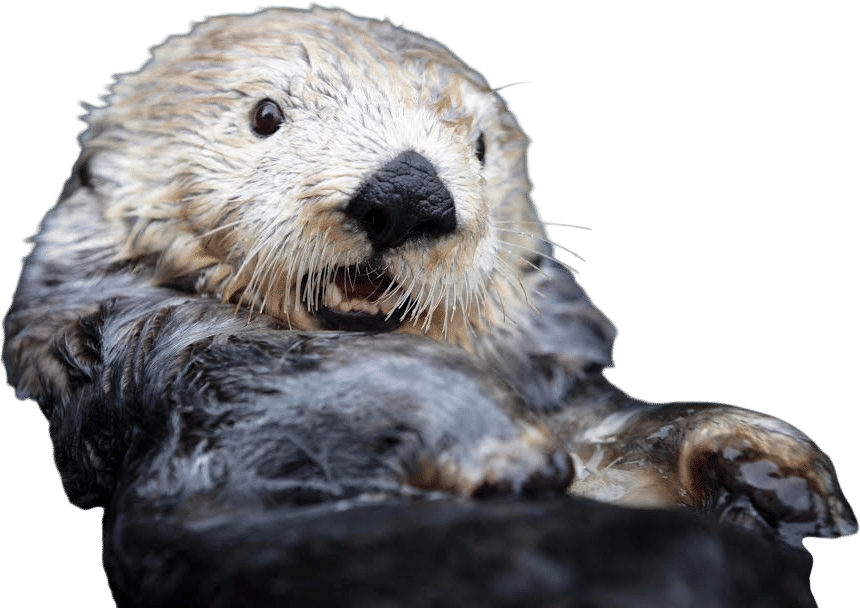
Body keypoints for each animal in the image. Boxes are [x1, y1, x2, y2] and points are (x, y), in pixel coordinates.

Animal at [3, 5, 856, 606]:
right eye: (266, 115)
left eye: (478, 146)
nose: (409, 192)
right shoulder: (194, 367)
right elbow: (355, 383)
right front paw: (503, 451)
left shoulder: (566, 390)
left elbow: (629, 426)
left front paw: (775, 461)